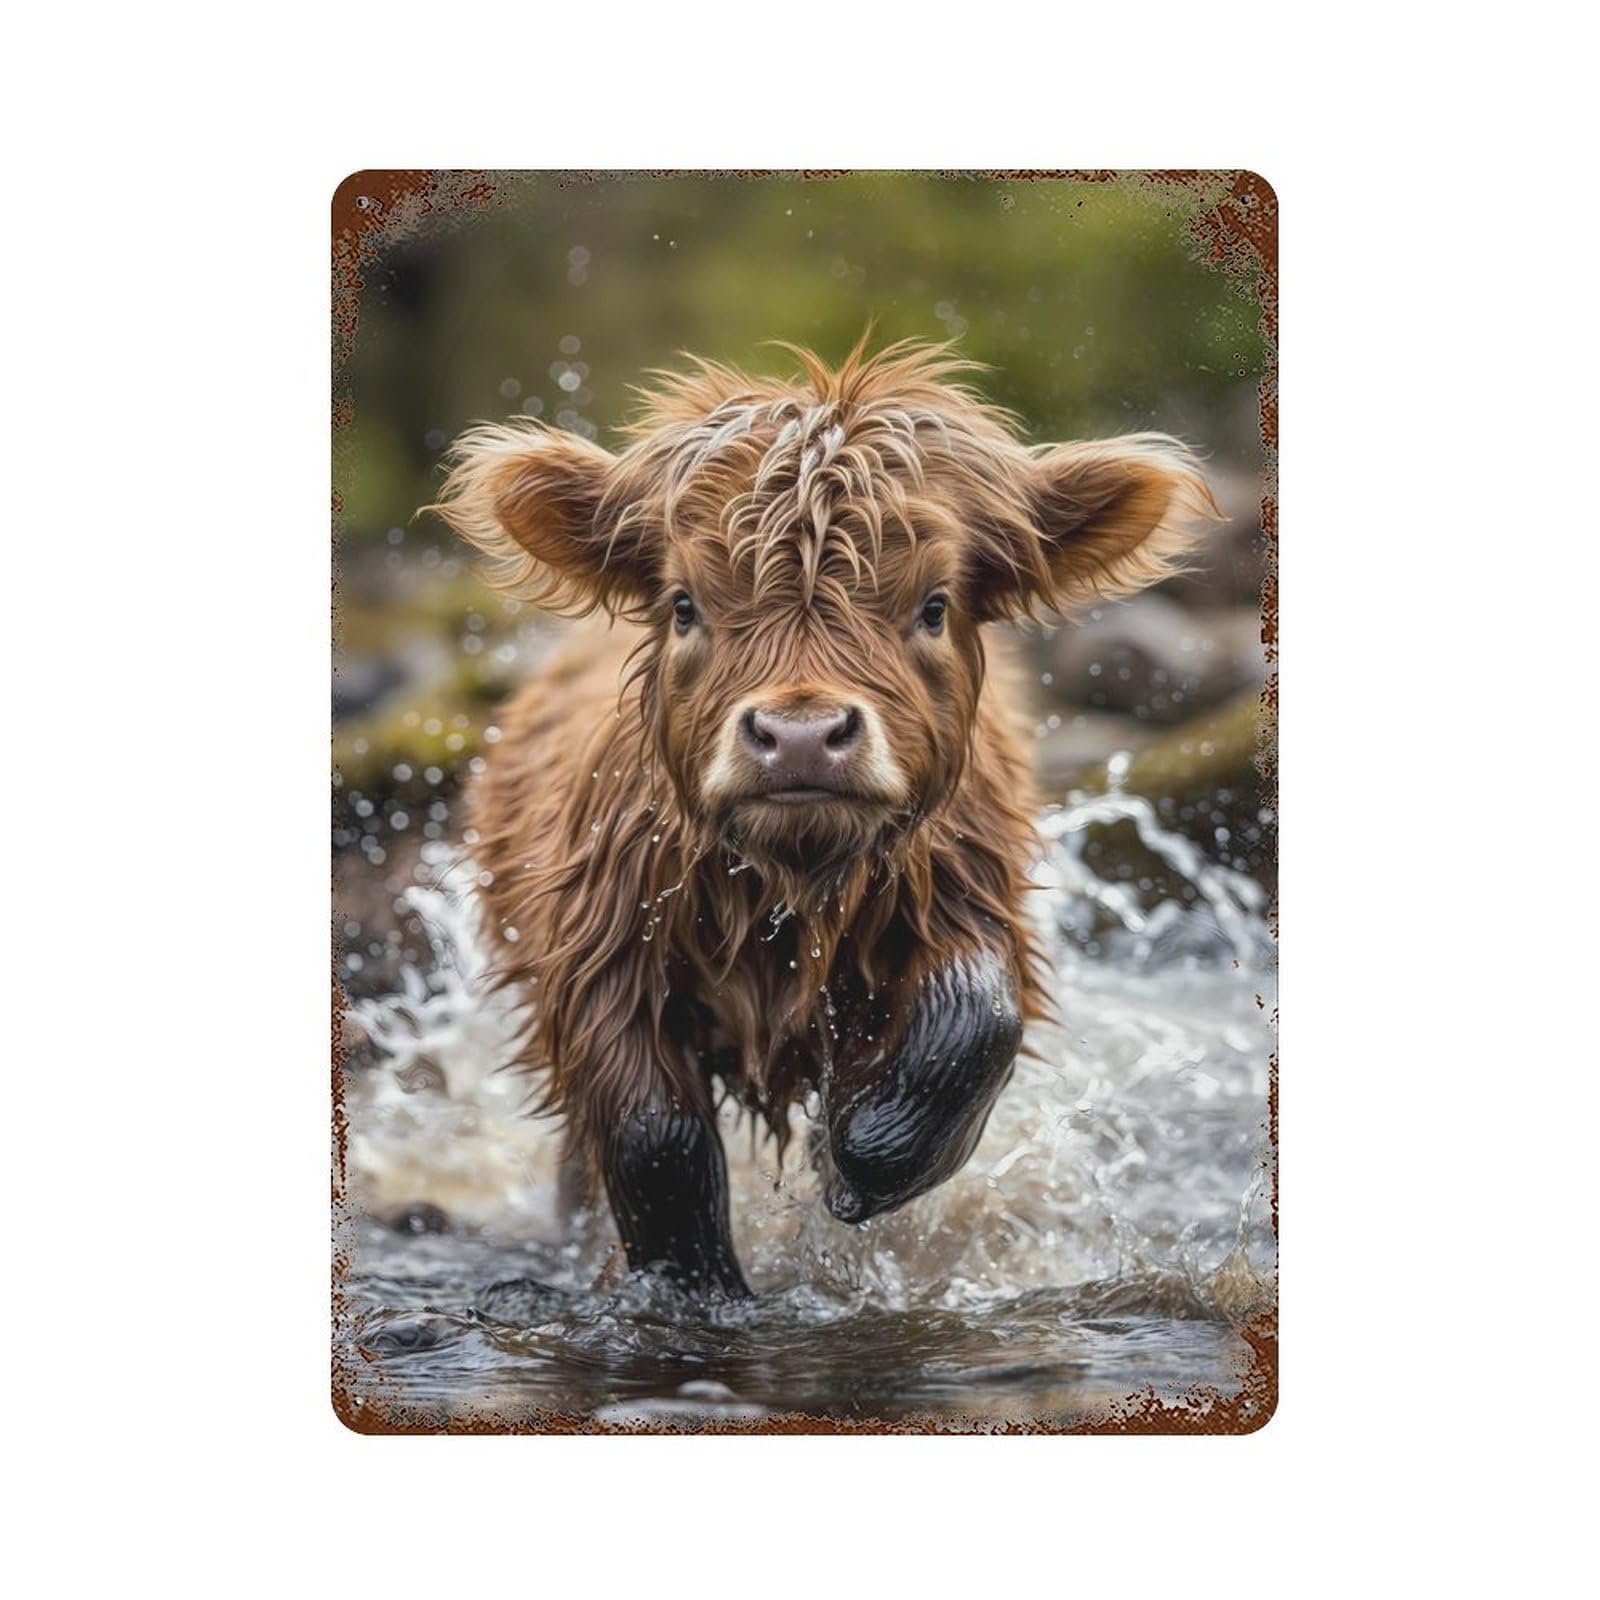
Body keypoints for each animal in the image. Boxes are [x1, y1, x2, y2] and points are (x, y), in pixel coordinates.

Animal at [431, 340, 1214, 1296]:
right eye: (685, 604)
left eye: (933, 605)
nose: (800, 735)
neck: (790, 894)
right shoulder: (595, 958)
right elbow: (655, 1139)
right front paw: (698, 1291)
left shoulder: (969, 890)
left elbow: (974, 1018)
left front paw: (858, 1158)